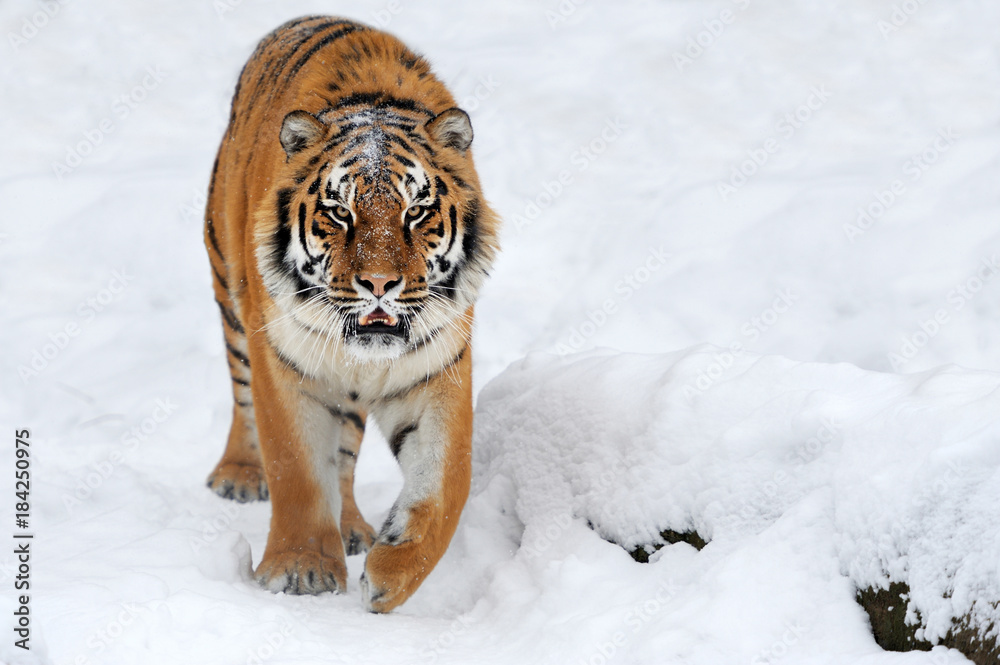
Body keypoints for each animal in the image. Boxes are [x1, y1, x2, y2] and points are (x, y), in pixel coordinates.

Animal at [202, 15, 500, 616]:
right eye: (340, 212)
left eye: (417, 211)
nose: (380, 284)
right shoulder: (284, 363)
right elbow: (296, 467)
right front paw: (299, 571)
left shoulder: (437, 370)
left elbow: (445, 484)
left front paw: (391, 574)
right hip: (230, 293)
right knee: (242, 397)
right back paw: (239, 476)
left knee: (343, 456)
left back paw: (355, 529)